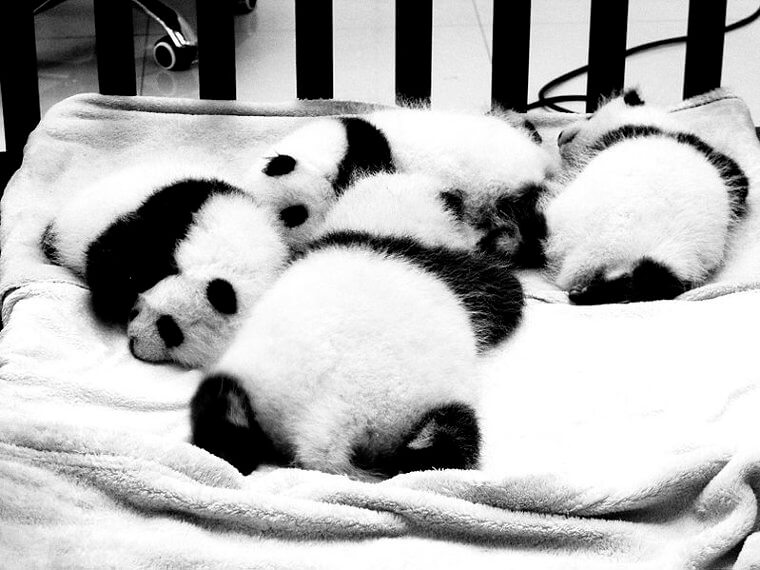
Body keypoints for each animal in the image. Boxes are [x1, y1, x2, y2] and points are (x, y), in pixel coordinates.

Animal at [43, 171, 290, 367]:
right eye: (169, 327)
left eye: (172, 336)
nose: (134, 342)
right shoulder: (187, 211)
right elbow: (120, 254)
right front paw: (109, 301)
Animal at [190, 172, 525, 478]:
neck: (375, 225)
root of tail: (327, 422)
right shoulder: (447, 269)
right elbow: (502, 296)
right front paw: (501, 244)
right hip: (413, 410)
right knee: (445, 439)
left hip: (255, 386)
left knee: (221, 403)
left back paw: (228, 443)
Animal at [543, 88, 749, 305]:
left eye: (590, 116)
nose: (560, 135)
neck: (655, 123)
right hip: (675, 254)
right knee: (653, 282)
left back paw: (585, 293)